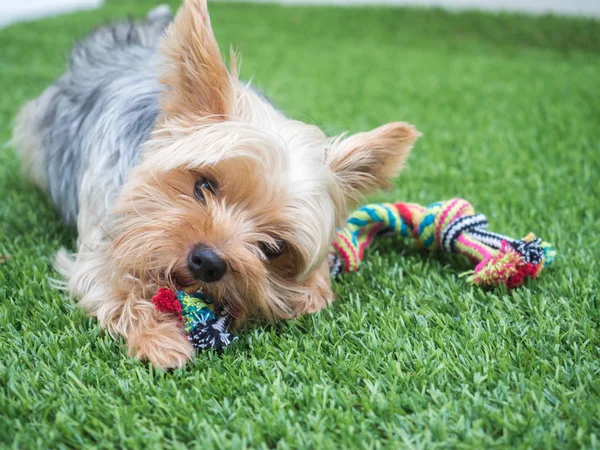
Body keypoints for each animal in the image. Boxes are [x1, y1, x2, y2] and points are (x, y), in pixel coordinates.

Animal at [11, 0, 420, 368]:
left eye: (274, 248)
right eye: (203, 185)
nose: (209, 262)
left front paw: (313, 291)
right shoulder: (101, 241)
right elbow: (114, 285)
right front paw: (160, 340)